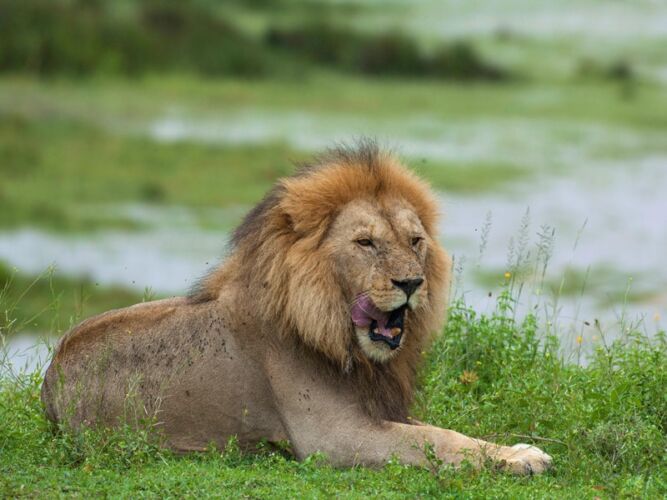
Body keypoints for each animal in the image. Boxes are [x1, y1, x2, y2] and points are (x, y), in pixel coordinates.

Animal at [41, 142, 552, 475]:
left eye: (415, 241)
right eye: (366, 243)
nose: (411, 283)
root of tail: (49, 380)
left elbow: (447, 431)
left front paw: (519, 450)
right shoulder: (334, 437)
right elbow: (435, 440)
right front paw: (520, 459)